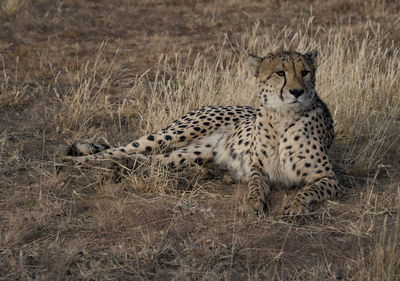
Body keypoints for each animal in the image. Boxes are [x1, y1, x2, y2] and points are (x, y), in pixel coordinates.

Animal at [65, 49, 344, 217]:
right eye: (280, 73)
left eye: (305, 72)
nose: (297, 92)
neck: (282, 118)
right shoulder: (258, 169)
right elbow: (255, 186)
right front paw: (253, 202)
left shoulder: (328, 178)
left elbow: (308, 191)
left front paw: (295, 206)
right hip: (178, 132)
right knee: (118, 149)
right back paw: (72, 161)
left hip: (190, 154)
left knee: (144, 160)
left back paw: (118, 168)